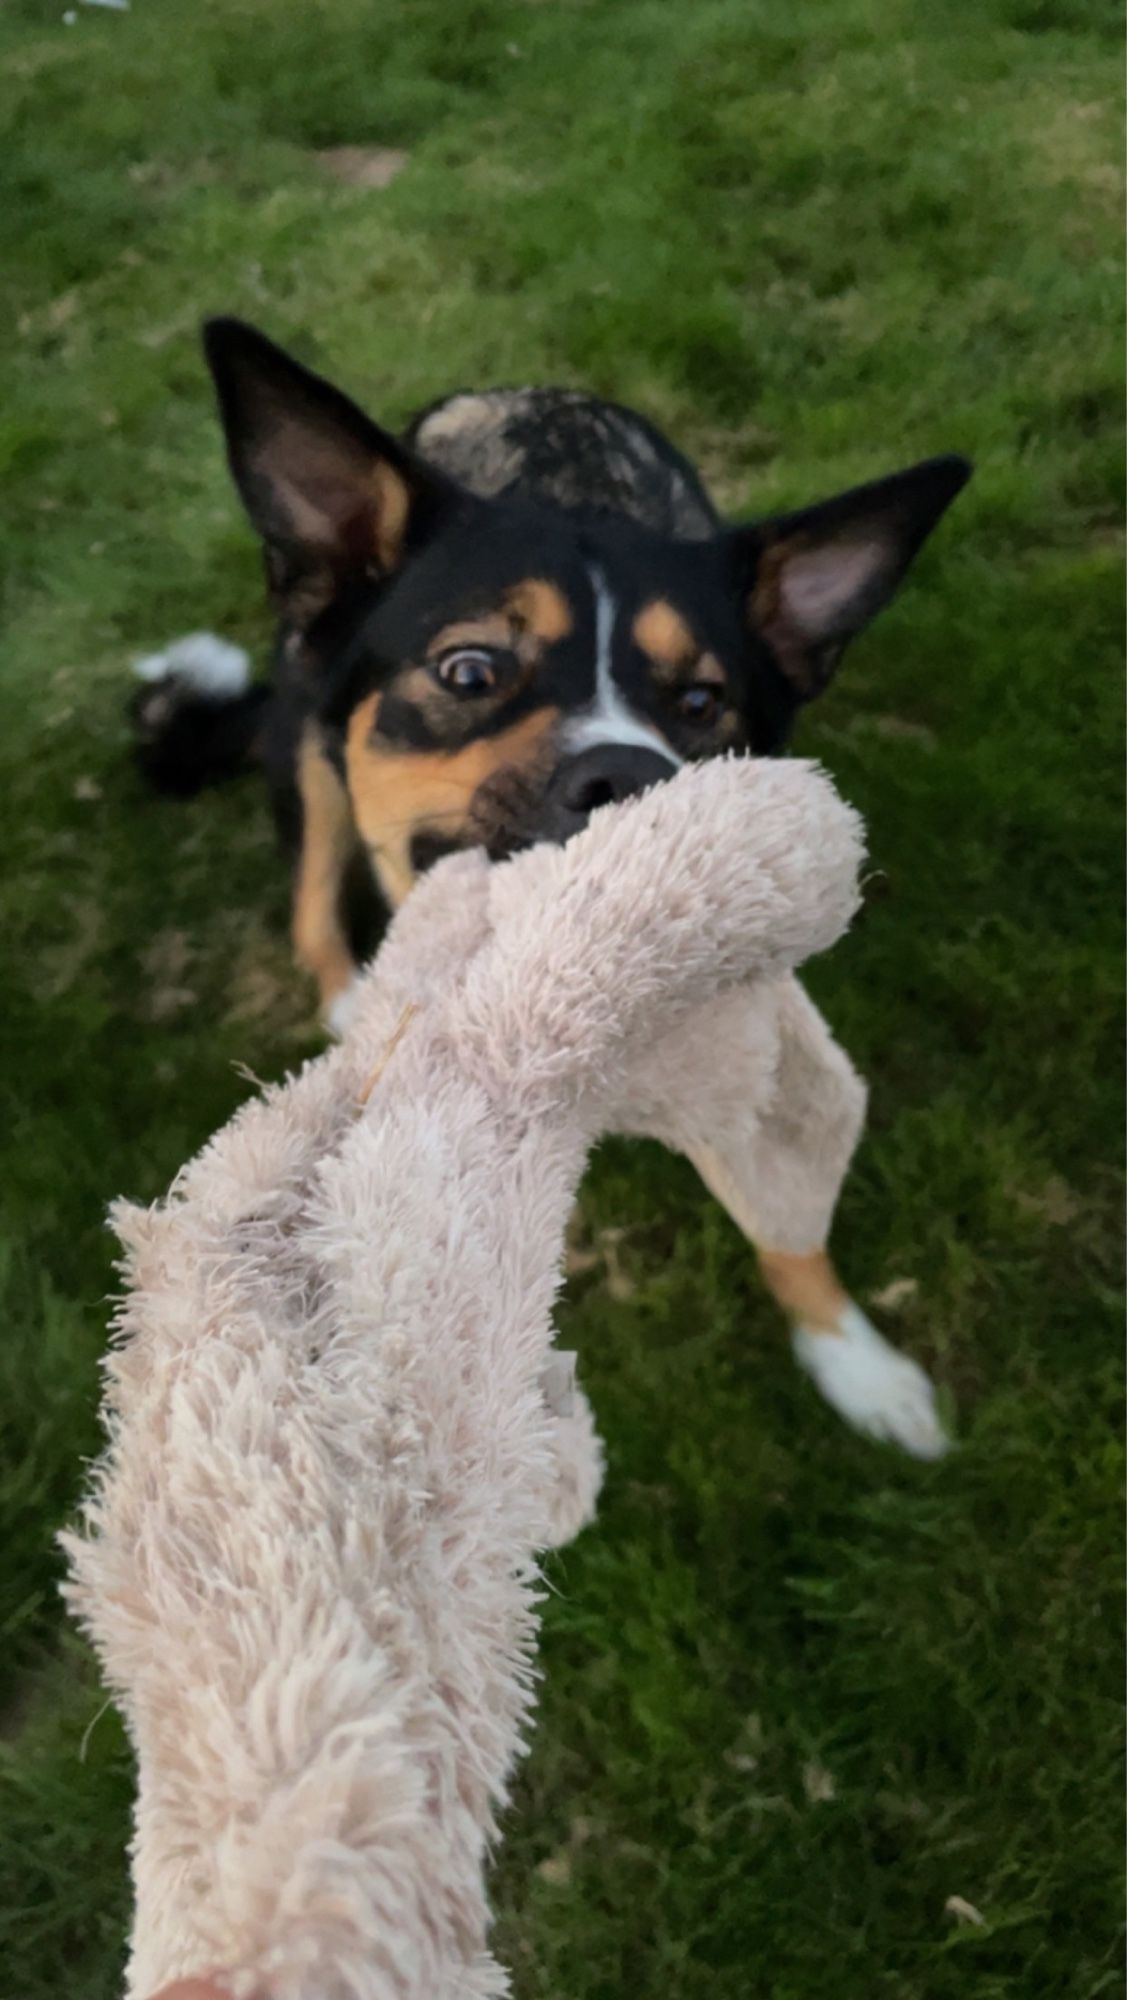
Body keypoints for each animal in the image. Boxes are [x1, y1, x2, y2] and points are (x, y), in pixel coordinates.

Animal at [136, 324, 967, 1456]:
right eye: (469, 671)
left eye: (701, 701)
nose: (631, 773)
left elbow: (779, 1198)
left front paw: (857, 1362)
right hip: (306, 731)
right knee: (312, 887)